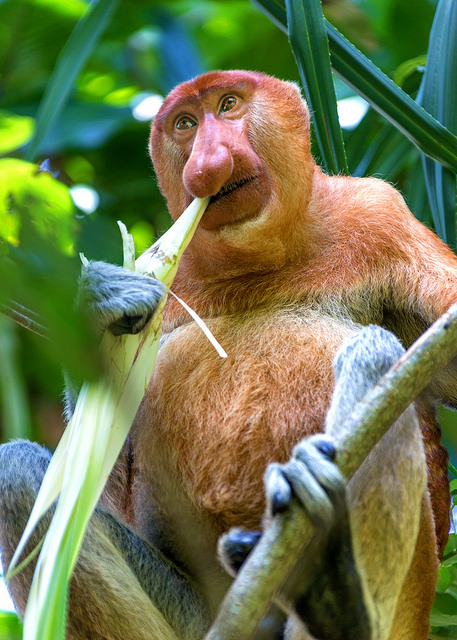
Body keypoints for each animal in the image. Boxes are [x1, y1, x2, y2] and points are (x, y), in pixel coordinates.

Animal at [0, 70, 456, 640]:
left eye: (229, 104)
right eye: (185, 124)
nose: (207, 163)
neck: (257, 261)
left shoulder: (380, 216)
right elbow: (96, 485)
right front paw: (104, 299)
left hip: (409, 595)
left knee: (375, 354)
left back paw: (338, 598)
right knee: (17, 472)